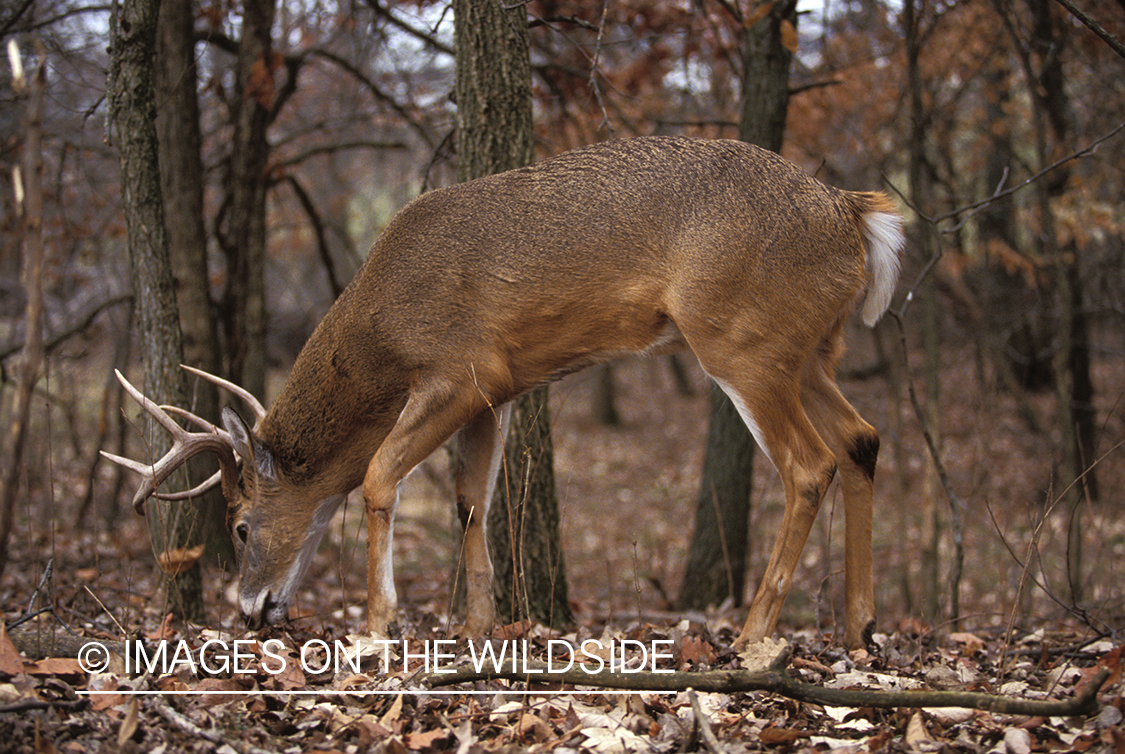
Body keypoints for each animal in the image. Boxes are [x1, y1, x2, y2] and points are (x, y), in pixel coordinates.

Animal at [105, 136, 904, 648]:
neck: (382, 329)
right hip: (808, 353)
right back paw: (860, 629)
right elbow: (471, 501)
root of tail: (851, 212)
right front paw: (478, 625)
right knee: (862, 439)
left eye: (241, 524)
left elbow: (379, 475)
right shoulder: (497, 393)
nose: (247, 611)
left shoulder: (462, 368)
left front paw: (379, 625)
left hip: (741, 340)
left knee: (809, 464)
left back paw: (754, 633)